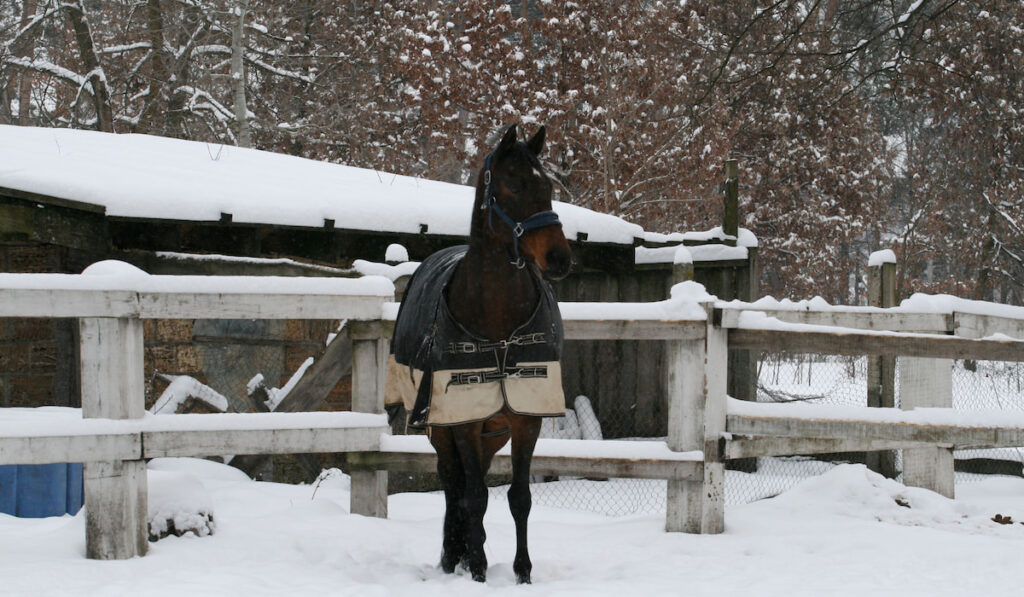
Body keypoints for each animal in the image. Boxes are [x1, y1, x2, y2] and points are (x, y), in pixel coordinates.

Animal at [387, 123, 573, 581]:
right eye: (514, 185)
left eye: (547, 187)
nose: (559, 258)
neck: (497, 322)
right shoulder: (464, 419)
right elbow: (473, 495)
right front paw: (478, 568)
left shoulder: (525, 419)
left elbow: (519, 497)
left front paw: (523, 571)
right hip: (444, 427)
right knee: (454, 483)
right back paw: (457, 554)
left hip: (494, 430)